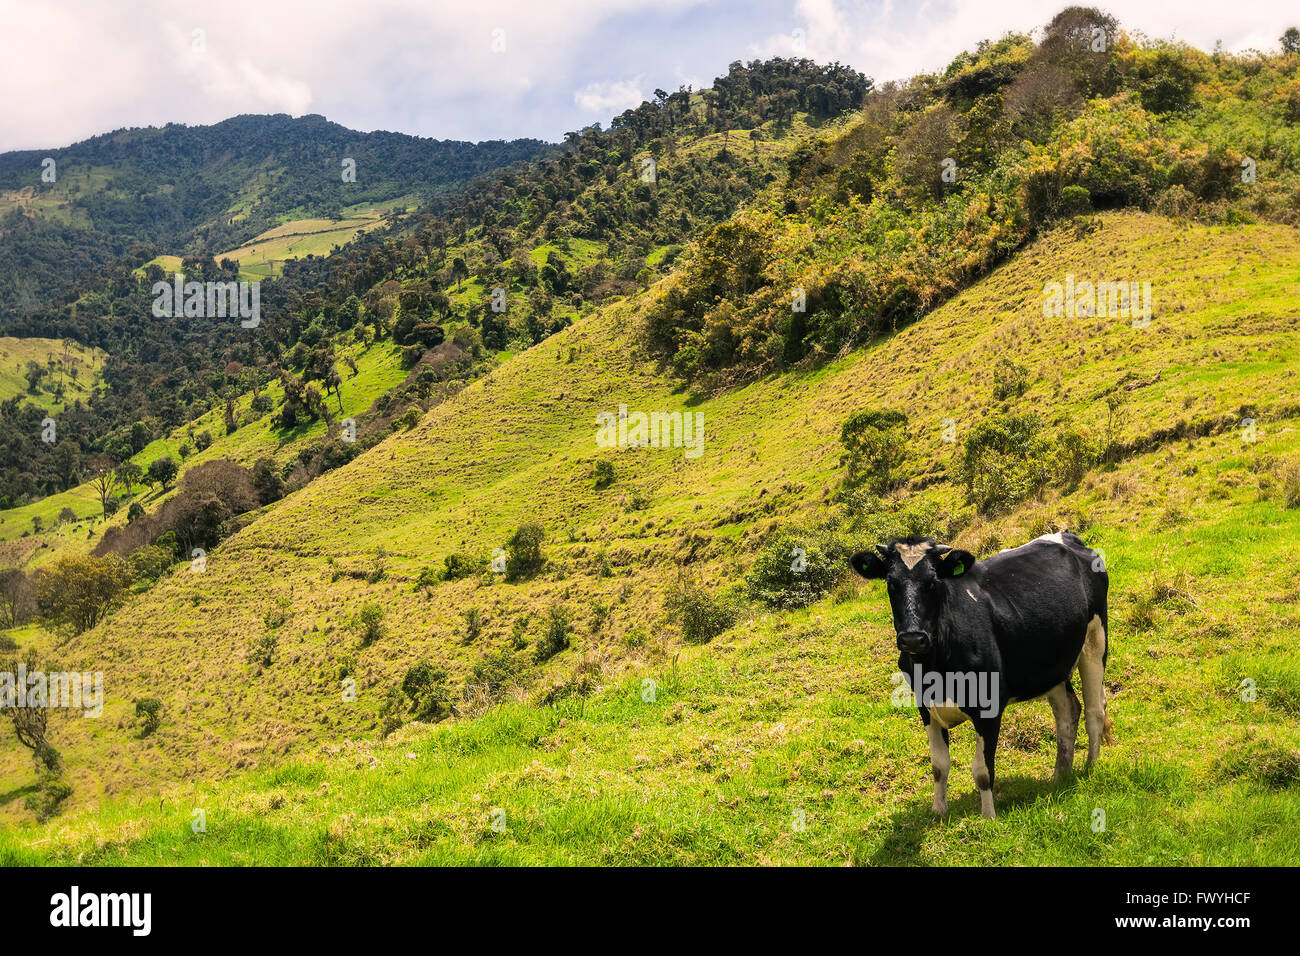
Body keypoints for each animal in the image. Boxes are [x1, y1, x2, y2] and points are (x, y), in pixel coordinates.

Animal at [852, 535, 1107, 816]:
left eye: (933, 582)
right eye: (891, 583)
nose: (913, 638)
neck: (935, 668)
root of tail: (1067, 537)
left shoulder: (989, 706)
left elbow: (983, 771)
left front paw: (988, 816)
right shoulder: (925, 707)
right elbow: (939, 764)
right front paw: (938, 810)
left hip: (1095, 638)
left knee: (1095, 710)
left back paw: (1091, 768)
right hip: (1052, 664)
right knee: (1068, 710)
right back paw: (1060, 776)